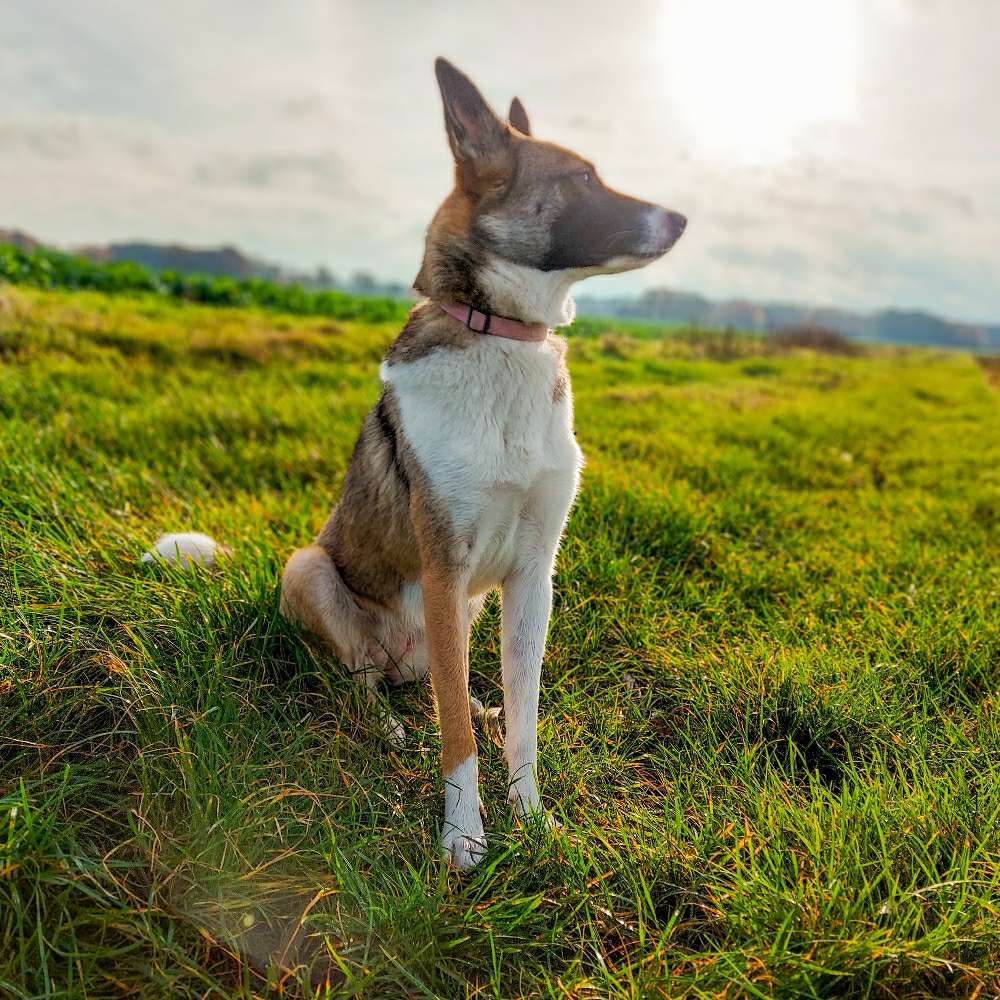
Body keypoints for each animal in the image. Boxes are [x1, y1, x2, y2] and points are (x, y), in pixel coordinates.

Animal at [282, 58, 688, 868]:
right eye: (583, 178)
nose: (684, 219)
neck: (501, 336)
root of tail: (402, 657)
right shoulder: (444, 566)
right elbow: (455, 741)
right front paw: (464, 835)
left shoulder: (533, 575)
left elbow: (525, 717)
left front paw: (531, 816)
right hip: (307, 569)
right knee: (364, 680)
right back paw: (392, 722)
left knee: (443, 682)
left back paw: (471, 697)